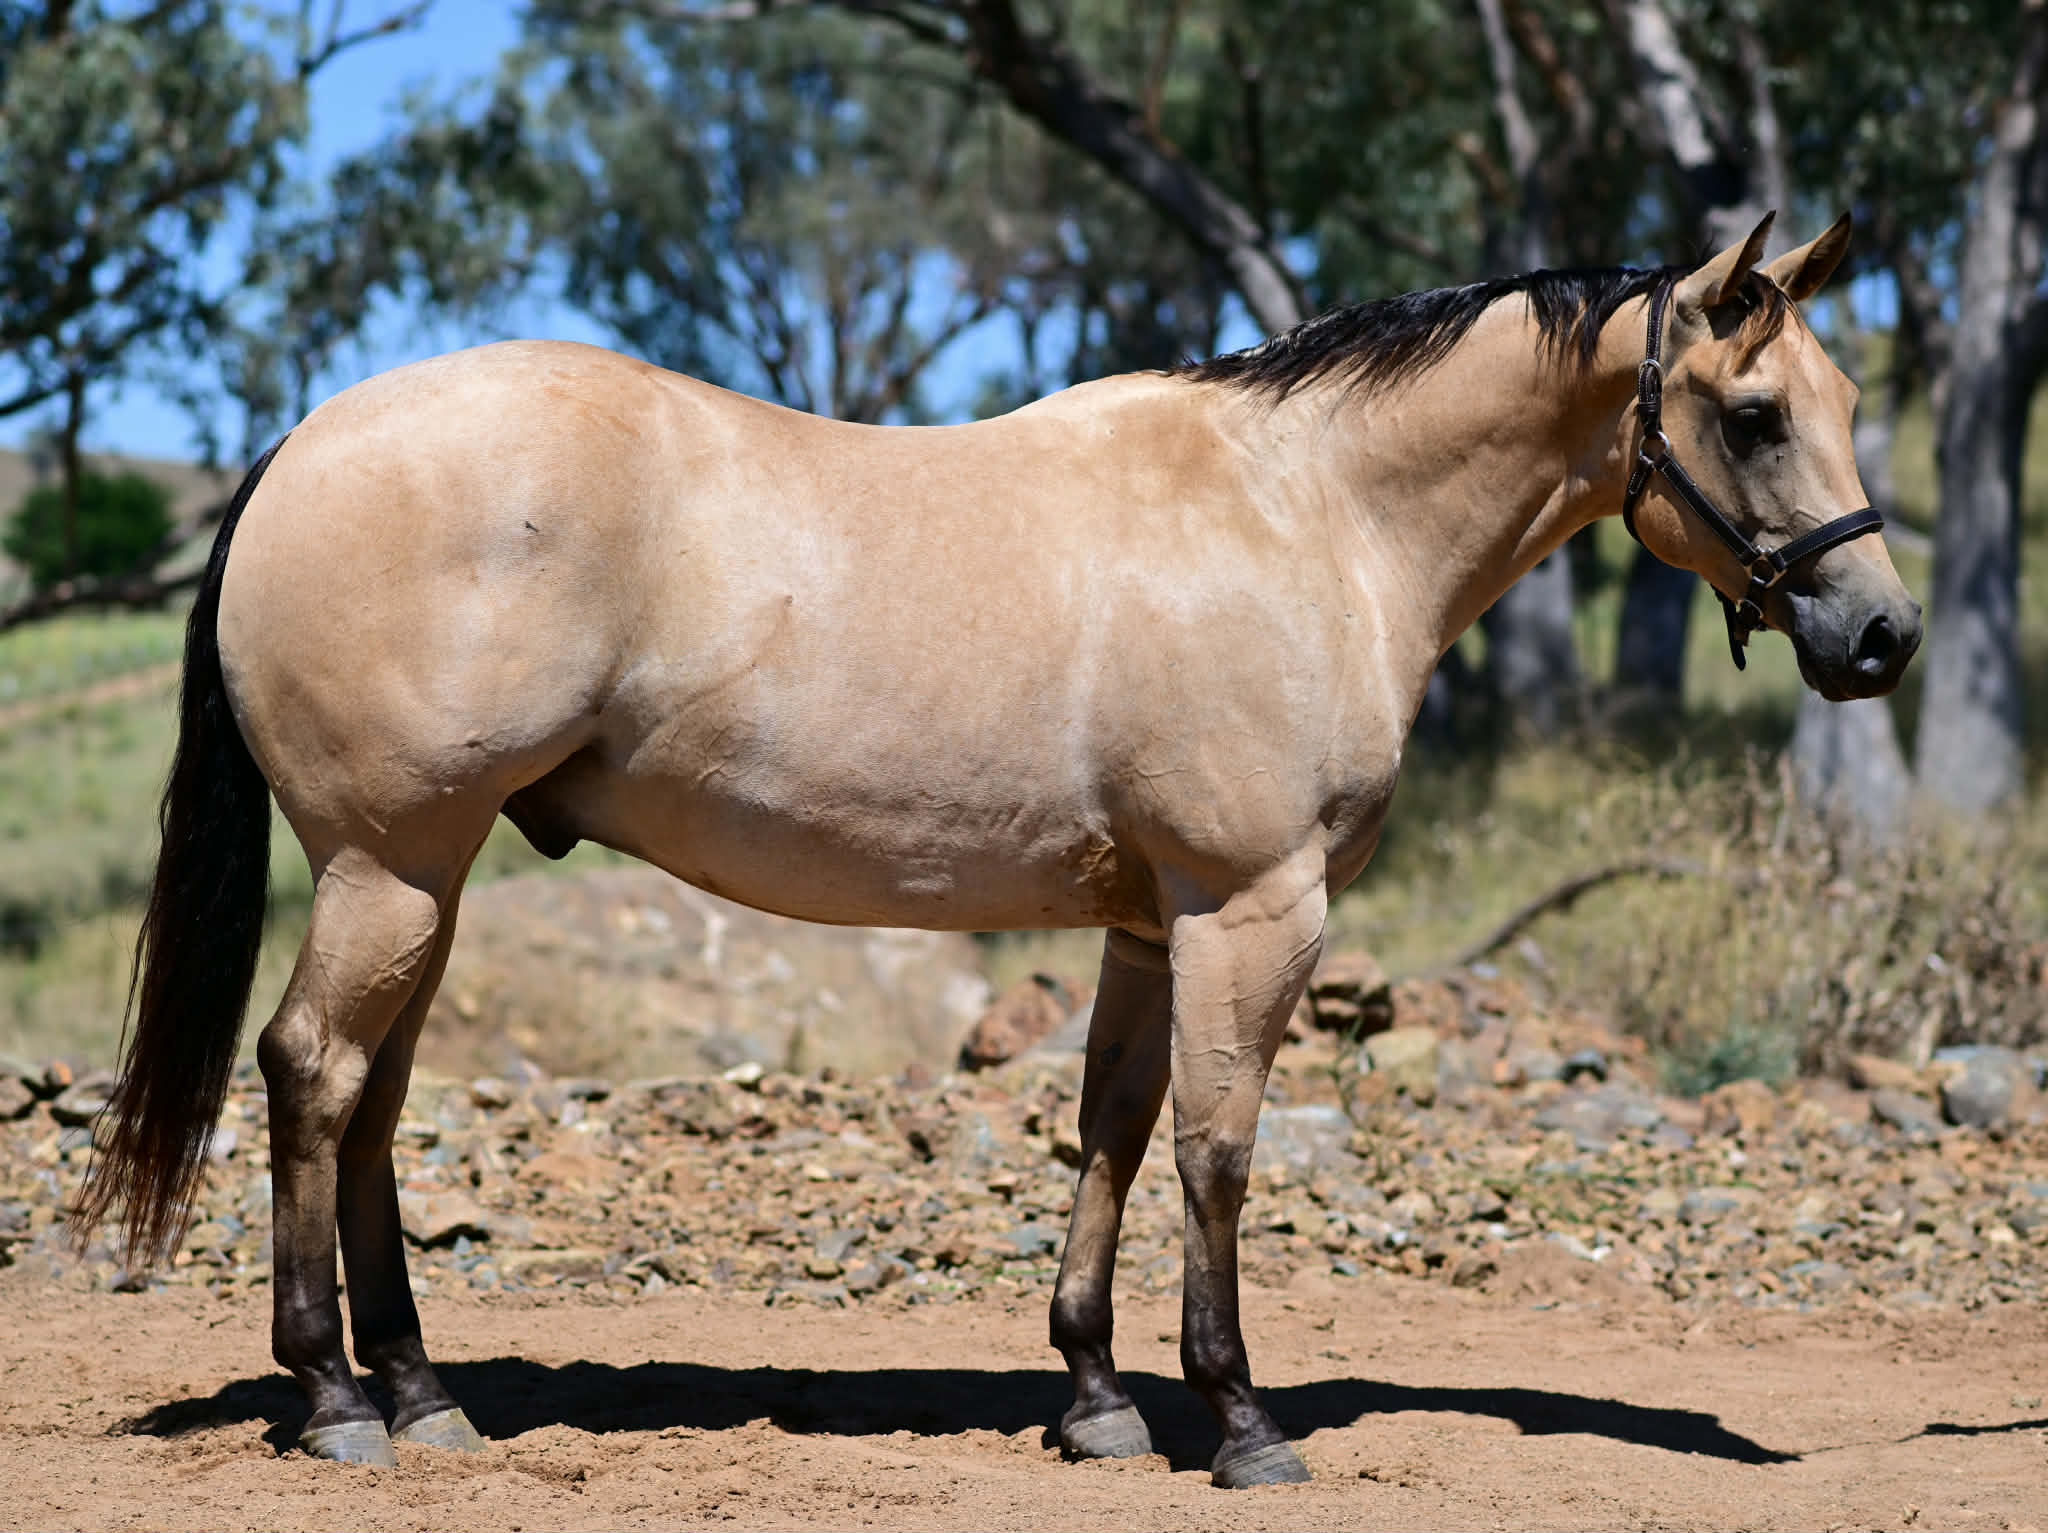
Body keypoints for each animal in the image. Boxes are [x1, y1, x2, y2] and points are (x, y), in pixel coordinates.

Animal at [75, 213, 1918, 1487]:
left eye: (1843, 396)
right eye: (1755, 414)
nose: (1881, 635)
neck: (1304, 514)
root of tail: (306, 442)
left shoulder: (1150, 920)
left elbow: (1111, 1131)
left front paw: (1096, 1396)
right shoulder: (1255, 908)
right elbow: (1218, 1151)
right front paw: (1240, 1418)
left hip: (425, 879)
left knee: (372, 1102)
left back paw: (422, 1391)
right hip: (389, 866)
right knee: (313, 1074)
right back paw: (334, 1399)